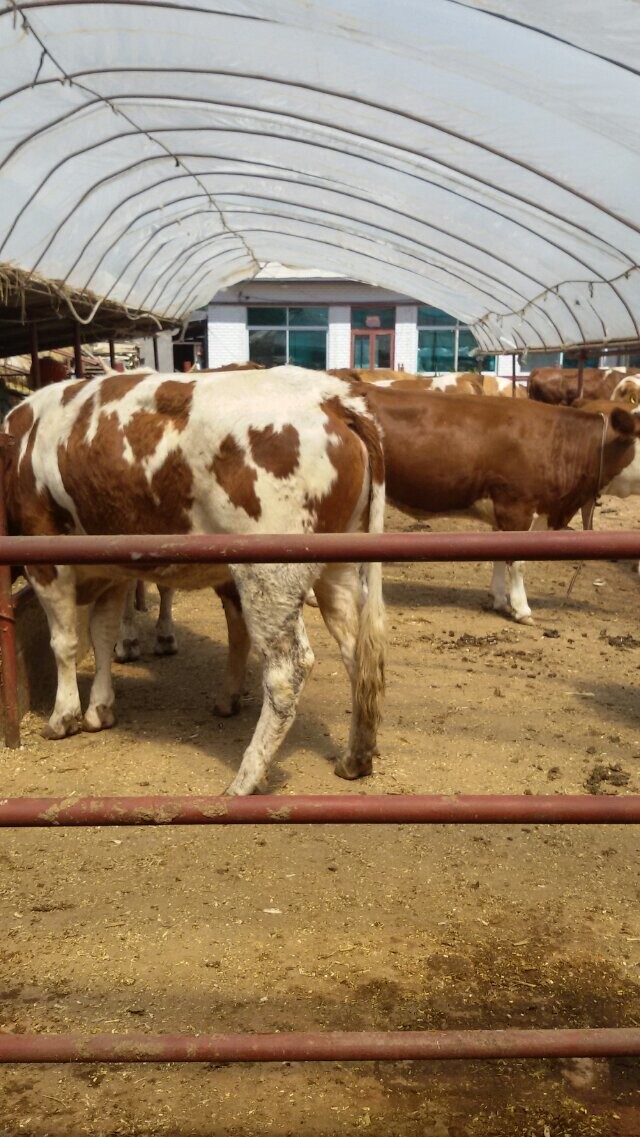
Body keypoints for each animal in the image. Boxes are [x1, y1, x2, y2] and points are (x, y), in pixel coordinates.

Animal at [3, 363, 386, 791]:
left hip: (269, 576)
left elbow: (64, 642)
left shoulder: (44, 556)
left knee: (288, 669)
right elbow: (101, 636)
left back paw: (246, 779)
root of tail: (331, 398)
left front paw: (62, 716)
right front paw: (99, 709)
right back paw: (356, 757)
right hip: (339, 567)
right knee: (357, 653)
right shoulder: (112, 571)